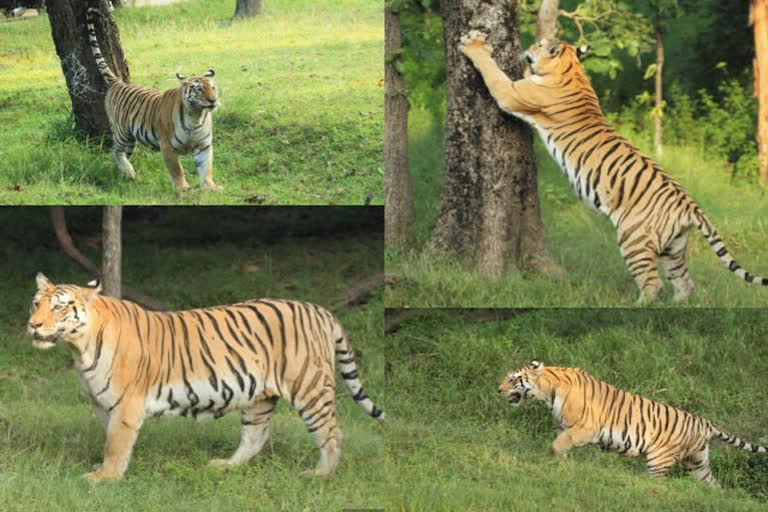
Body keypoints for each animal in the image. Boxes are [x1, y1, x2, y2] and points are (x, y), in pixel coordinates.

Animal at [25, 274, 384, 482]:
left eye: (58, 307)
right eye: (35, 304)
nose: (33, 325)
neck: (80, 348)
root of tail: (320, 310)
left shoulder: (127, 404)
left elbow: (115, 443)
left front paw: (105, 478)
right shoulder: (102, 404)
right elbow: (110, 439)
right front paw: (110, 470)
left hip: (309, 389)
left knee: (332, 433)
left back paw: (321, 474)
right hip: (259, 397)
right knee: (256, 436)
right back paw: (227, 466)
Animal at [85, 7, 222, 191]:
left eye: (213, 88)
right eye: (199, 89)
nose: (213, 100)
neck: (196, 116)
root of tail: (118, 83)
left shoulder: (204, 146)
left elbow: (206, 167)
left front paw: (210, 187)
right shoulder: (167, 145)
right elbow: (176, 169)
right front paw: (182, 188)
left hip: (131, 141)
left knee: (124, 154)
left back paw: (126, 173)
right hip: (122, 133)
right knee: (116, 150)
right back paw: (129, 172)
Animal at [460, 32, 768, 304]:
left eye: (538, 43)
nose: (529, 47)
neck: (571, 67)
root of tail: (690, 206)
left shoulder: (511, 93)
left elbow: (493, 72)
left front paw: (474, 44)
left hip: (633, 239)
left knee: (653, 284)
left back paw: (637, 306)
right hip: (674, 249)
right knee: (685, 283)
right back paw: (677, 305)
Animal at [500, 360, 764, 484]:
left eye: (513, 379)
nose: (498, 389)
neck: (547, 392)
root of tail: (703, 422)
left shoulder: (585, 428)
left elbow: (557, 445)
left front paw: (555, 460)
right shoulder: (564, 428)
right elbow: (561, 445)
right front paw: (562, 465)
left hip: (659, 460)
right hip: (698, 464)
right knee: (712, 484)